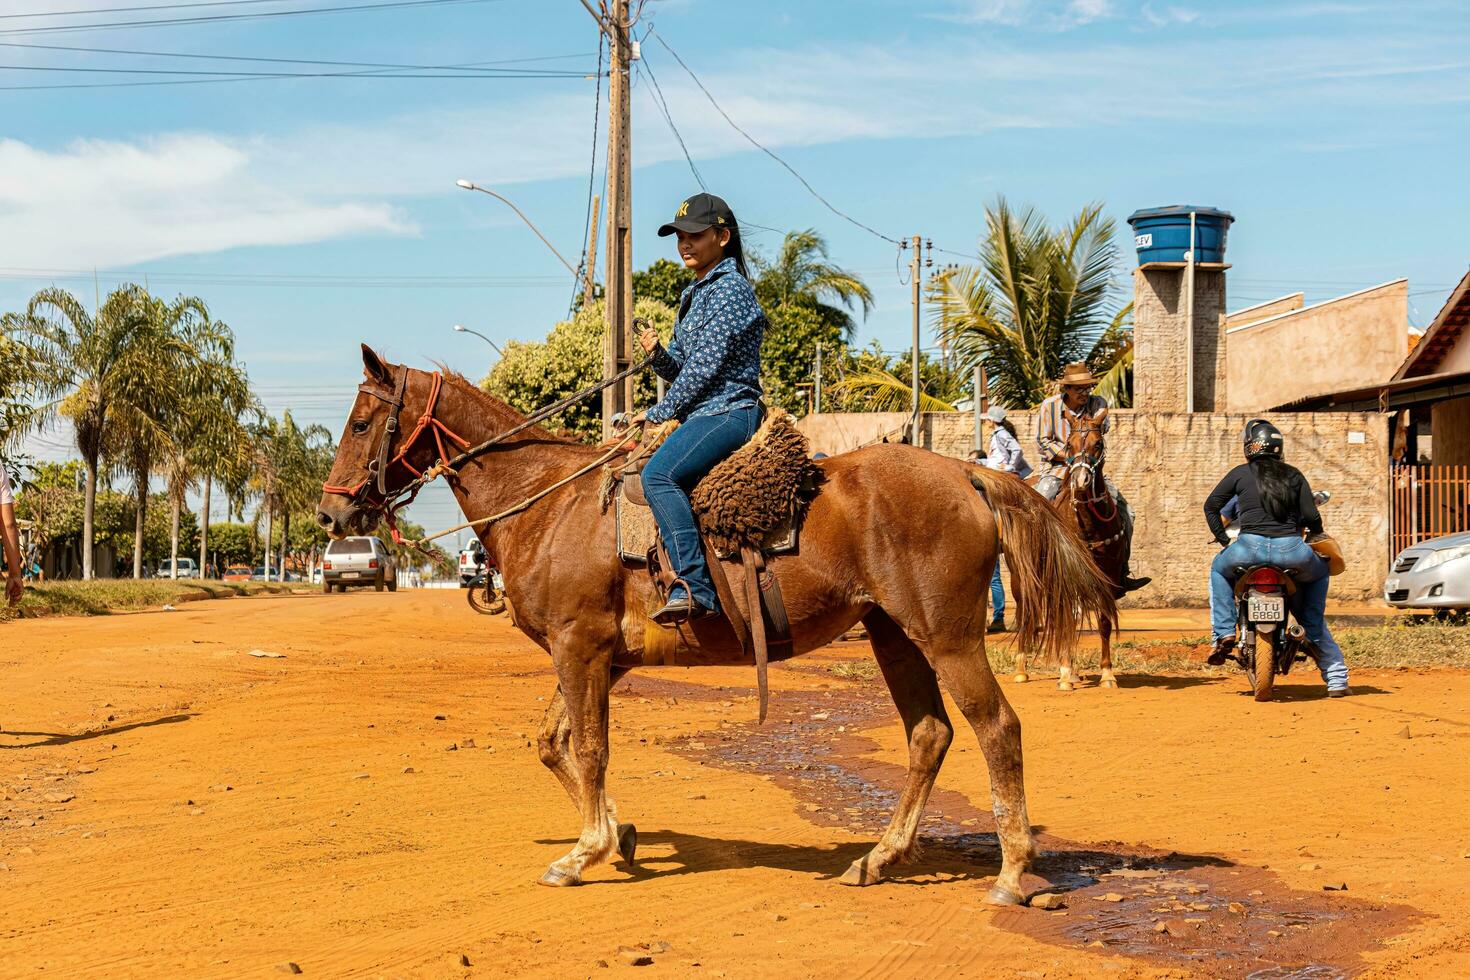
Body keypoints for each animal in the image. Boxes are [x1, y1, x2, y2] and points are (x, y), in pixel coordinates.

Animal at [313, 348, 1111, 910]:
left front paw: (583, 853)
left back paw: (1011, 873)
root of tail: (963, 474)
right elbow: (554, 743)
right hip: (892, 633)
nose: (329, 514)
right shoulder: (601, 658)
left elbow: (591, 749)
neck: (549, 503)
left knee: (995, 728)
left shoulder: (580, 647)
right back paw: (878, 859)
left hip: (946, 636)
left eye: (362, 423)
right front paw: (620, 836)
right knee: (930, 735)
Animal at [1011, 411, 1123, 693]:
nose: (1081, 481)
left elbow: (1103, 621)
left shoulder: (1108, 576)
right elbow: (1069, 621)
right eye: (1069, 445)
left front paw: (1107, 673)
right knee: (1026, 614)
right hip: (1021, 577)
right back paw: (1022, 669)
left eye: (1098, 444)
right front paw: (1063, 674)